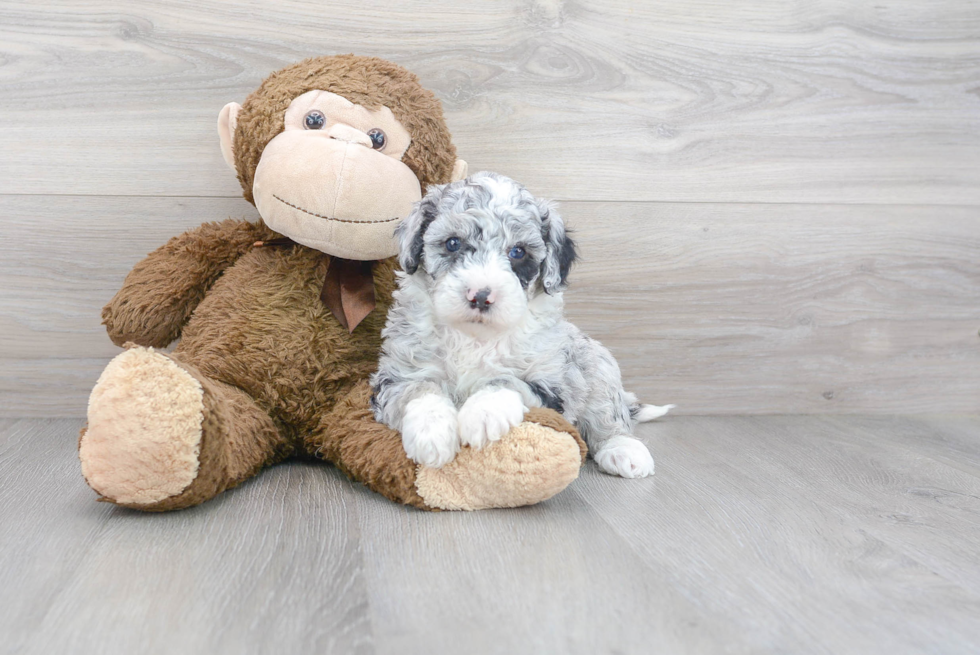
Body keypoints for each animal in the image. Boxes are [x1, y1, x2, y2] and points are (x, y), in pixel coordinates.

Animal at [370, 172, 672, 480]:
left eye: (518, 252)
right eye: (453, 243)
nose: (481, 296)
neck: (474, 337)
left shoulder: (551, 387)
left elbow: (505, 380)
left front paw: (483, 413)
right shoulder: (397, 375)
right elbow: (419, 389)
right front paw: (431, 434)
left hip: (598, 367)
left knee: (608, 416)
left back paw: (624, 451)